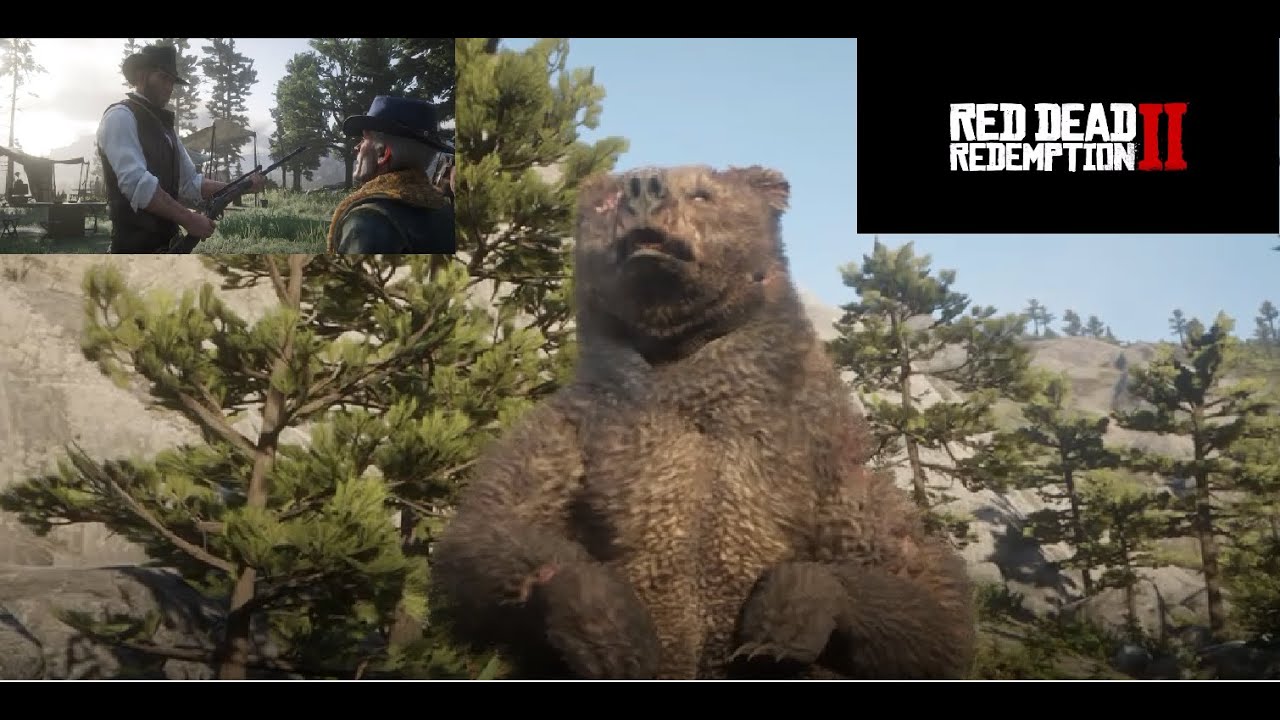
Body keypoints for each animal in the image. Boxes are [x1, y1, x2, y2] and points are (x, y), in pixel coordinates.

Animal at [428, 164, 978, 679]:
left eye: (702, 193)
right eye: (606, 201)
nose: (643, 187)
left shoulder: (826, 462)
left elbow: (927, 600)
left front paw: (776, 629)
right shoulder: (576, 433)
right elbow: (488, 529)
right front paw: (613, 632)